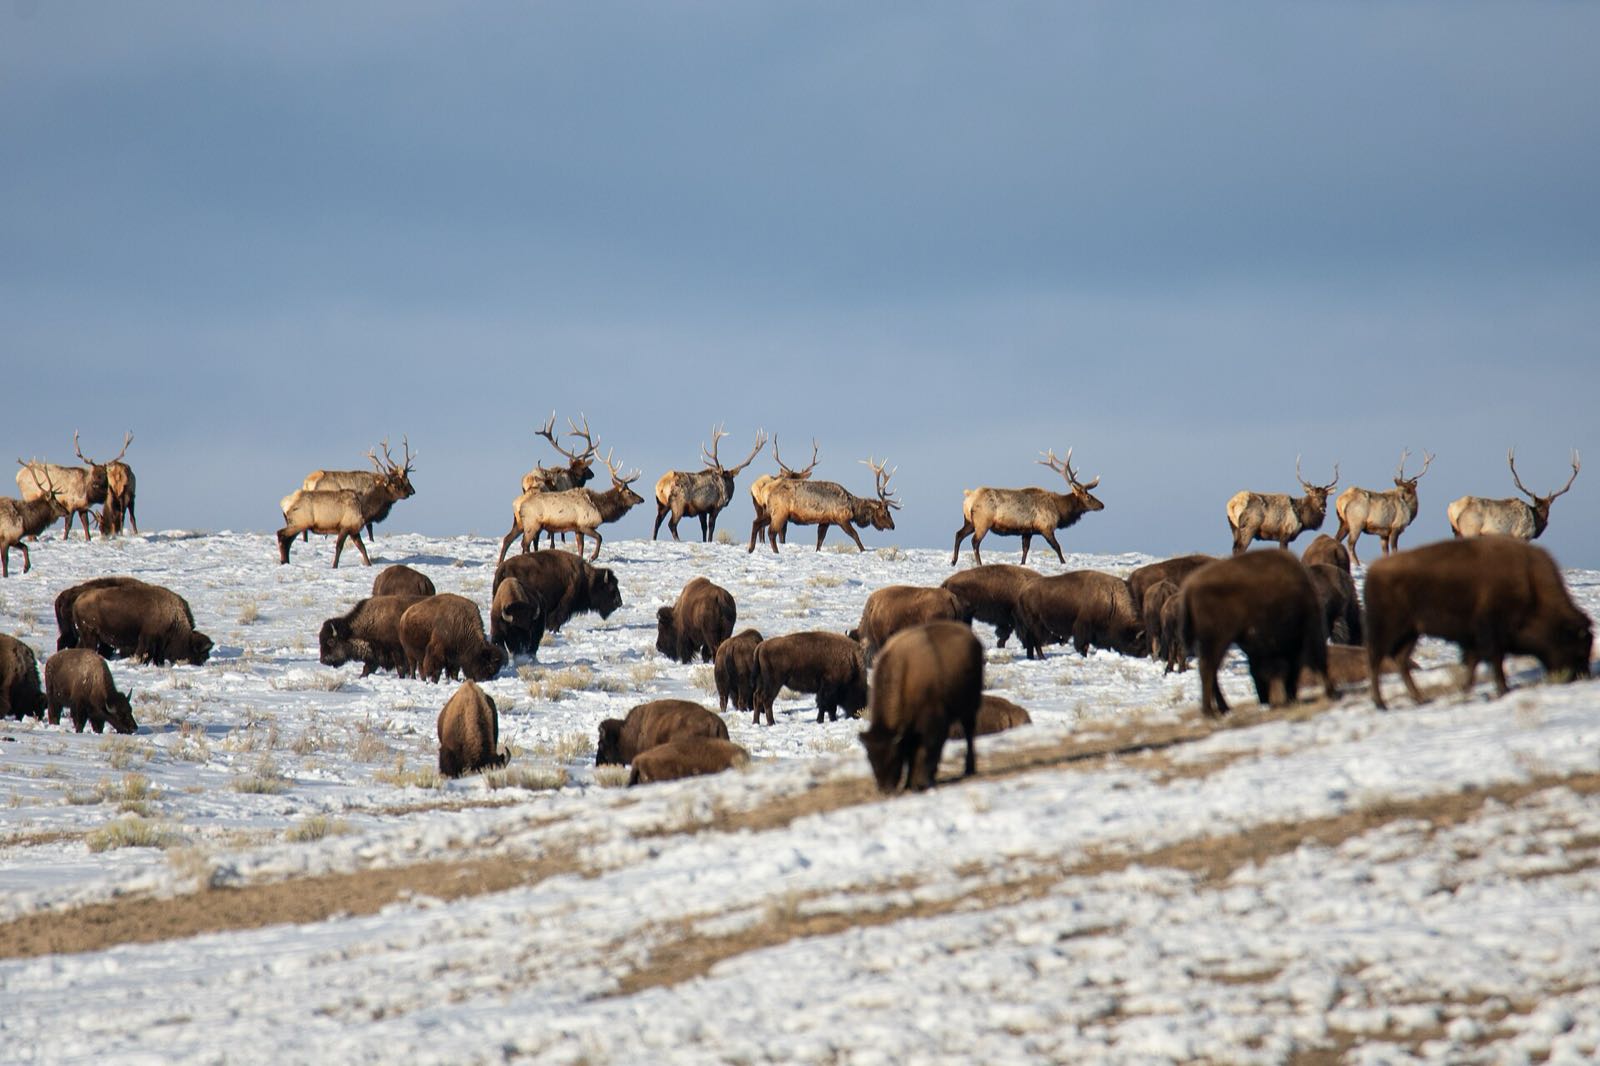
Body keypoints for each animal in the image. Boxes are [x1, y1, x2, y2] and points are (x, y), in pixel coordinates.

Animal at [497, 450, 644, 563]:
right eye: (629, 492)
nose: (642, 499)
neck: (600, 509)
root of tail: (519, 504)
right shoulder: (585, 524)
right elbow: (599, 537)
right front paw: (592, 557)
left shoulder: (577, 528)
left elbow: (581, 547)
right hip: (532, 524)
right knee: (525, 543)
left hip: (519, 523)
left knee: (508, 539)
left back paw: (500, 563)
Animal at [762, 456, 899, 552]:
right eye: (885, 512)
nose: (893, 526)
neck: (853, 508)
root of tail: (768, 491)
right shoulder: (841, 519)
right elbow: (855, 535)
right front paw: (863, 550)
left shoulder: (825, 520)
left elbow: (820, 541)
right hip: (780, 513)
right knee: (771, 533)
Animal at [953, 448, 1104, 566]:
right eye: (1088, 497)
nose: (1102, 505)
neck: (1060, 511)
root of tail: (968, 498)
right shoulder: (1046, 527)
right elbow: (1057, 547)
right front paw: (1064, 563)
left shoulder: (1027, 531)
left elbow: (1025, 550)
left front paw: (1022, 564)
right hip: (983, 521)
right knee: (975, 541)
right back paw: (979, 564)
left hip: (969, 521)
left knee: (958, 534)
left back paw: (953, 561)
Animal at [1447, 449, 1580, 541]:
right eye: (1537, 505)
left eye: (1548, 507)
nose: (1545, 521)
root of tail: (1452, 508)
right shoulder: (1521, 535)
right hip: (1470, 530)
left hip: (1457, 532)